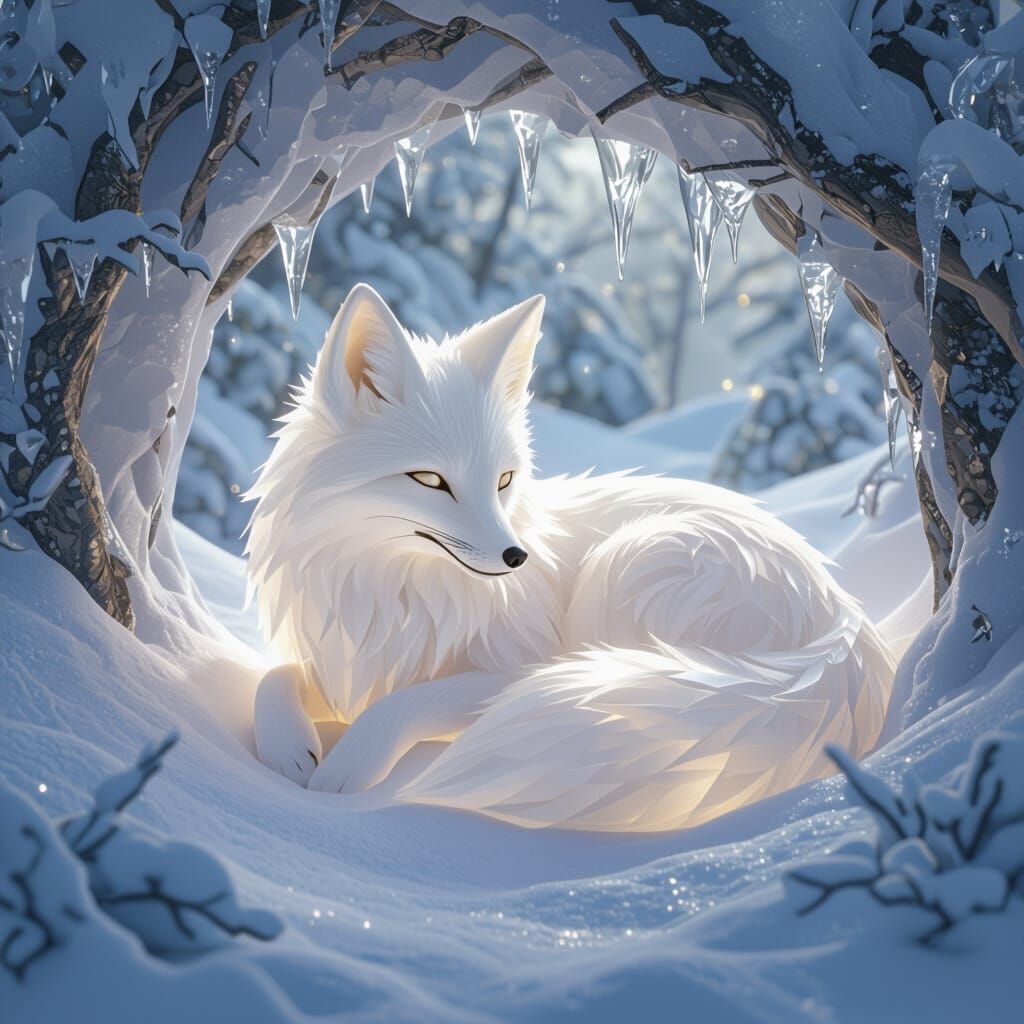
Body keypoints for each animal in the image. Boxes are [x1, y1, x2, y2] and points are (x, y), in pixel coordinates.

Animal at [245, 284, 895, 832]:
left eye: (504, 480)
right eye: (429, 480)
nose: (517, 557)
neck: (394, 596)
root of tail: (842, 628)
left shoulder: (524, 666)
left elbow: (409, 701)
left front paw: (347, 767)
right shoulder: (340, 661)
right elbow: (276, 675)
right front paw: (287, 750)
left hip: (628, 569)